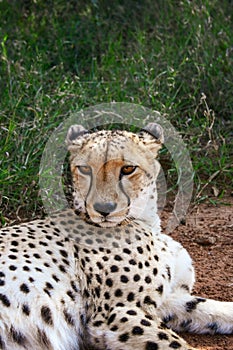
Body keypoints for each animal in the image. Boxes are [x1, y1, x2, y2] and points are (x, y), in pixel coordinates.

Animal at [0, 123, 233, 350]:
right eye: (85, 169)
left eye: (128, 169)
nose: (103, 208)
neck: (145, 222)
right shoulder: (114, 314)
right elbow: (175, 344)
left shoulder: (164, 300)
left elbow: (203, 306)